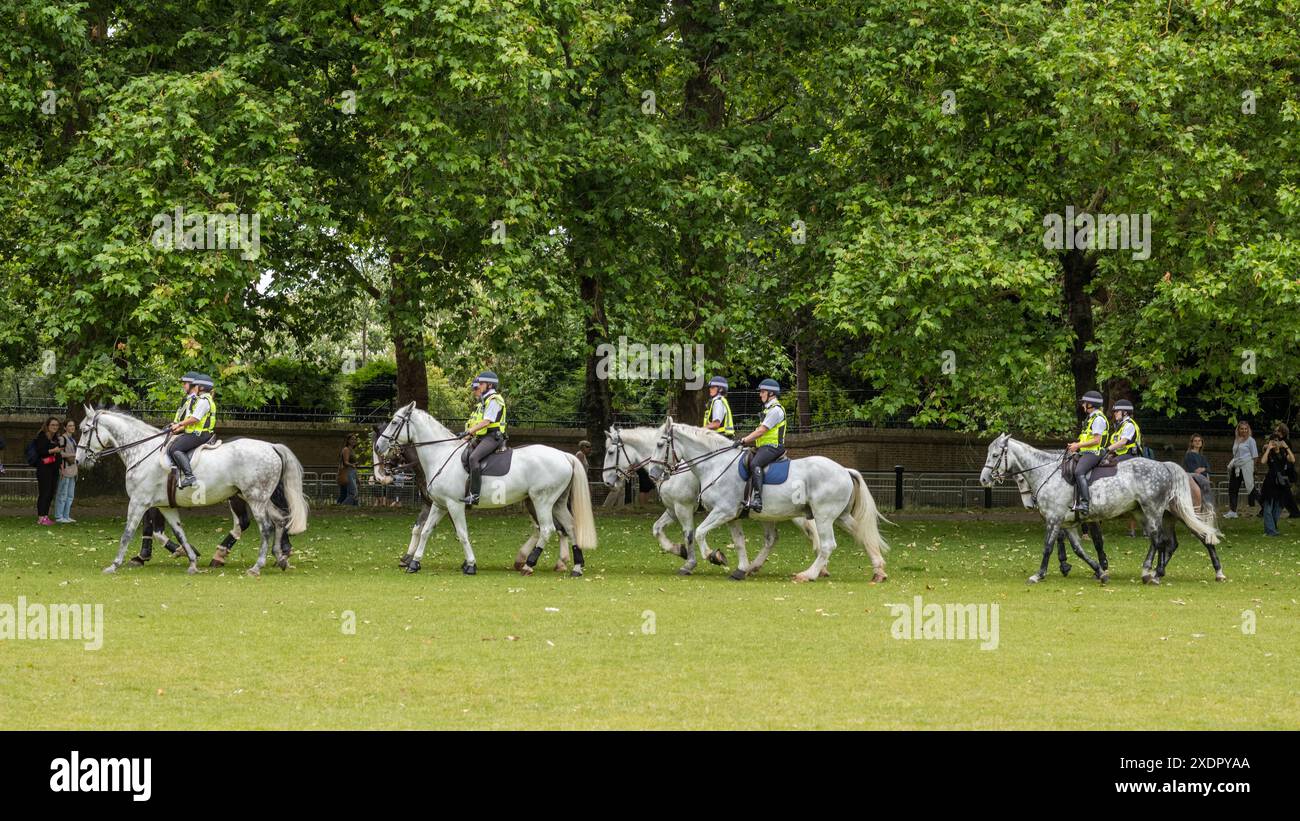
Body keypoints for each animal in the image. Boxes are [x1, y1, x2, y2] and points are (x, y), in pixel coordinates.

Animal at [374, 405, 595, 576]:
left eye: (395, 422)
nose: (378, 446)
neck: (441, 455)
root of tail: (565, 455)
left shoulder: (454, 505)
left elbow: (461, 533)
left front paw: (470, 564)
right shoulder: (439, 504)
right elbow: (426, 530)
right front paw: (414, 562)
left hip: (542, 501)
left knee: (548, 528)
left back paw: (529, 564)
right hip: (556, 502)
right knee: (569, 527)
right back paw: (575, 566)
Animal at [600, 426, 821, 574]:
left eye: (610, 452)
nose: (607, 481)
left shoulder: (683, 507)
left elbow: (690, 534)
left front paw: (690, 563)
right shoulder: (672, 509)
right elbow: (657, 529)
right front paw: (679, 550)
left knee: (810, 530)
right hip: (768, 515)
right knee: (773, 538)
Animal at [647, 415, 889, 584]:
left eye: (659, 444)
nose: (653, 474)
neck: (715, 464)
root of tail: (845, 470)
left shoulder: (722, 511)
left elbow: (698, 533)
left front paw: (714, 556)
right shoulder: (732, 516)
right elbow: (739, 542)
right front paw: (740, 569)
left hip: (824, 516)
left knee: (828, 545)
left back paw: (808, 574)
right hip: (840, 516)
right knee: (862, 534)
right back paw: (878, 571)